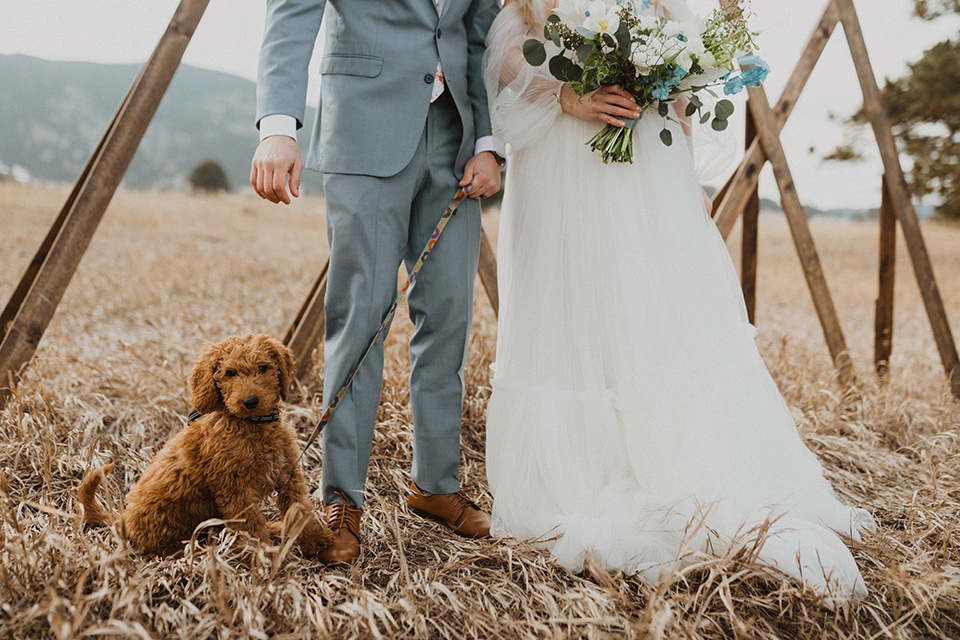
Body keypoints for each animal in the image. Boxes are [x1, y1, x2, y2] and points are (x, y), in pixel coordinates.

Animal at [75, 332, 332, 556]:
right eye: (230, 373)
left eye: (262, 368)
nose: (250, 401)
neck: (253, 425)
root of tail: (124, 520)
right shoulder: (235, 490)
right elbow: (250, 526)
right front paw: (262, 557)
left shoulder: (288, 475)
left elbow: (300, 510)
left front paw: (319, 542)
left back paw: (273, 528)